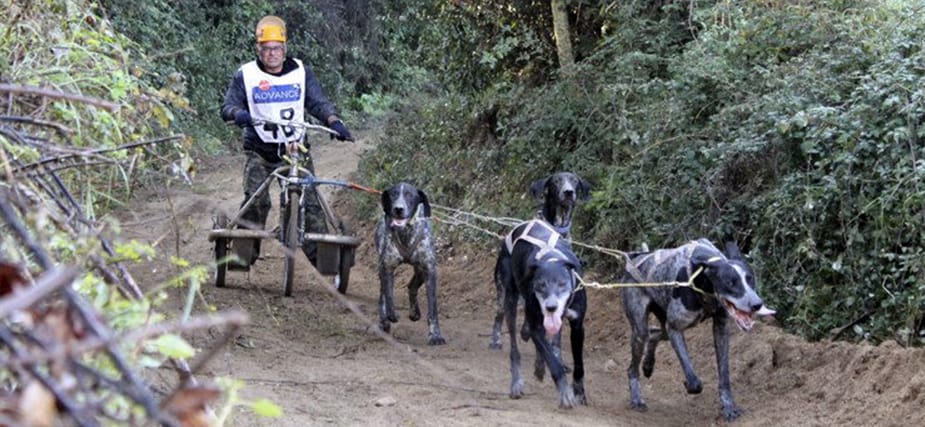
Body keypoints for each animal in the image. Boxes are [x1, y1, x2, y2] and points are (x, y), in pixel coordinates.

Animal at [378, 182, 446, 346]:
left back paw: (414, 312)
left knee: (412, 286)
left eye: (410, 195)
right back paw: (384, 321)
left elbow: (433, 309)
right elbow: (389, 296)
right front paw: (391, 315)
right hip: (381, 269)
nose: (398, 209)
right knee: (382, 295)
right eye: (393, 194)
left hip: (420, 271)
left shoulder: (429, 270)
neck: (406, 233)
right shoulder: (387, 267)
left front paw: (435, 335)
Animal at [498, 219, 584, 410]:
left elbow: (579, 364)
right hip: (510, 296)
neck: (551, 258)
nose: (551, 307)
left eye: (562, 283)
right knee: (515, 346)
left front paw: (579, 391)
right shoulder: (536, 325)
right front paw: (565, 393)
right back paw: (517, 381)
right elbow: (553, 363)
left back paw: (539, 364)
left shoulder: (577, 325)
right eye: (541, 285)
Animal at [620, 239, 772, 422]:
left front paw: (729, 406)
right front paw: (690, 385)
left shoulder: (721, 328)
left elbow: (724, 376)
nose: (757, 304)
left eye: (750, 279)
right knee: (633, 365)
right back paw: (636, 399)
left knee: (654, 333)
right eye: (730, 282)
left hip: (662, 325)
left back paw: (648, 364)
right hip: (641, 329)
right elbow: (694, 380)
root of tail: (635, 259)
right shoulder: (675, 328)